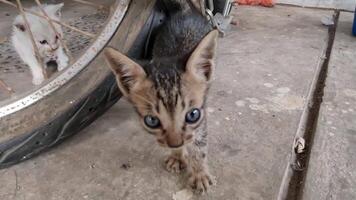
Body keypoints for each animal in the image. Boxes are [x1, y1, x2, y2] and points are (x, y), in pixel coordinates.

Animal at [104, 11, 217, 193]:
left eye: (193, 115)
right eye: (152, 121)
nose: (175, 144)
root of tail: (185, 11)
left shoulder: (201, 117)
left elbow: (199, 145)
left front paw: (199, 172)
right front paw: (177, 155)